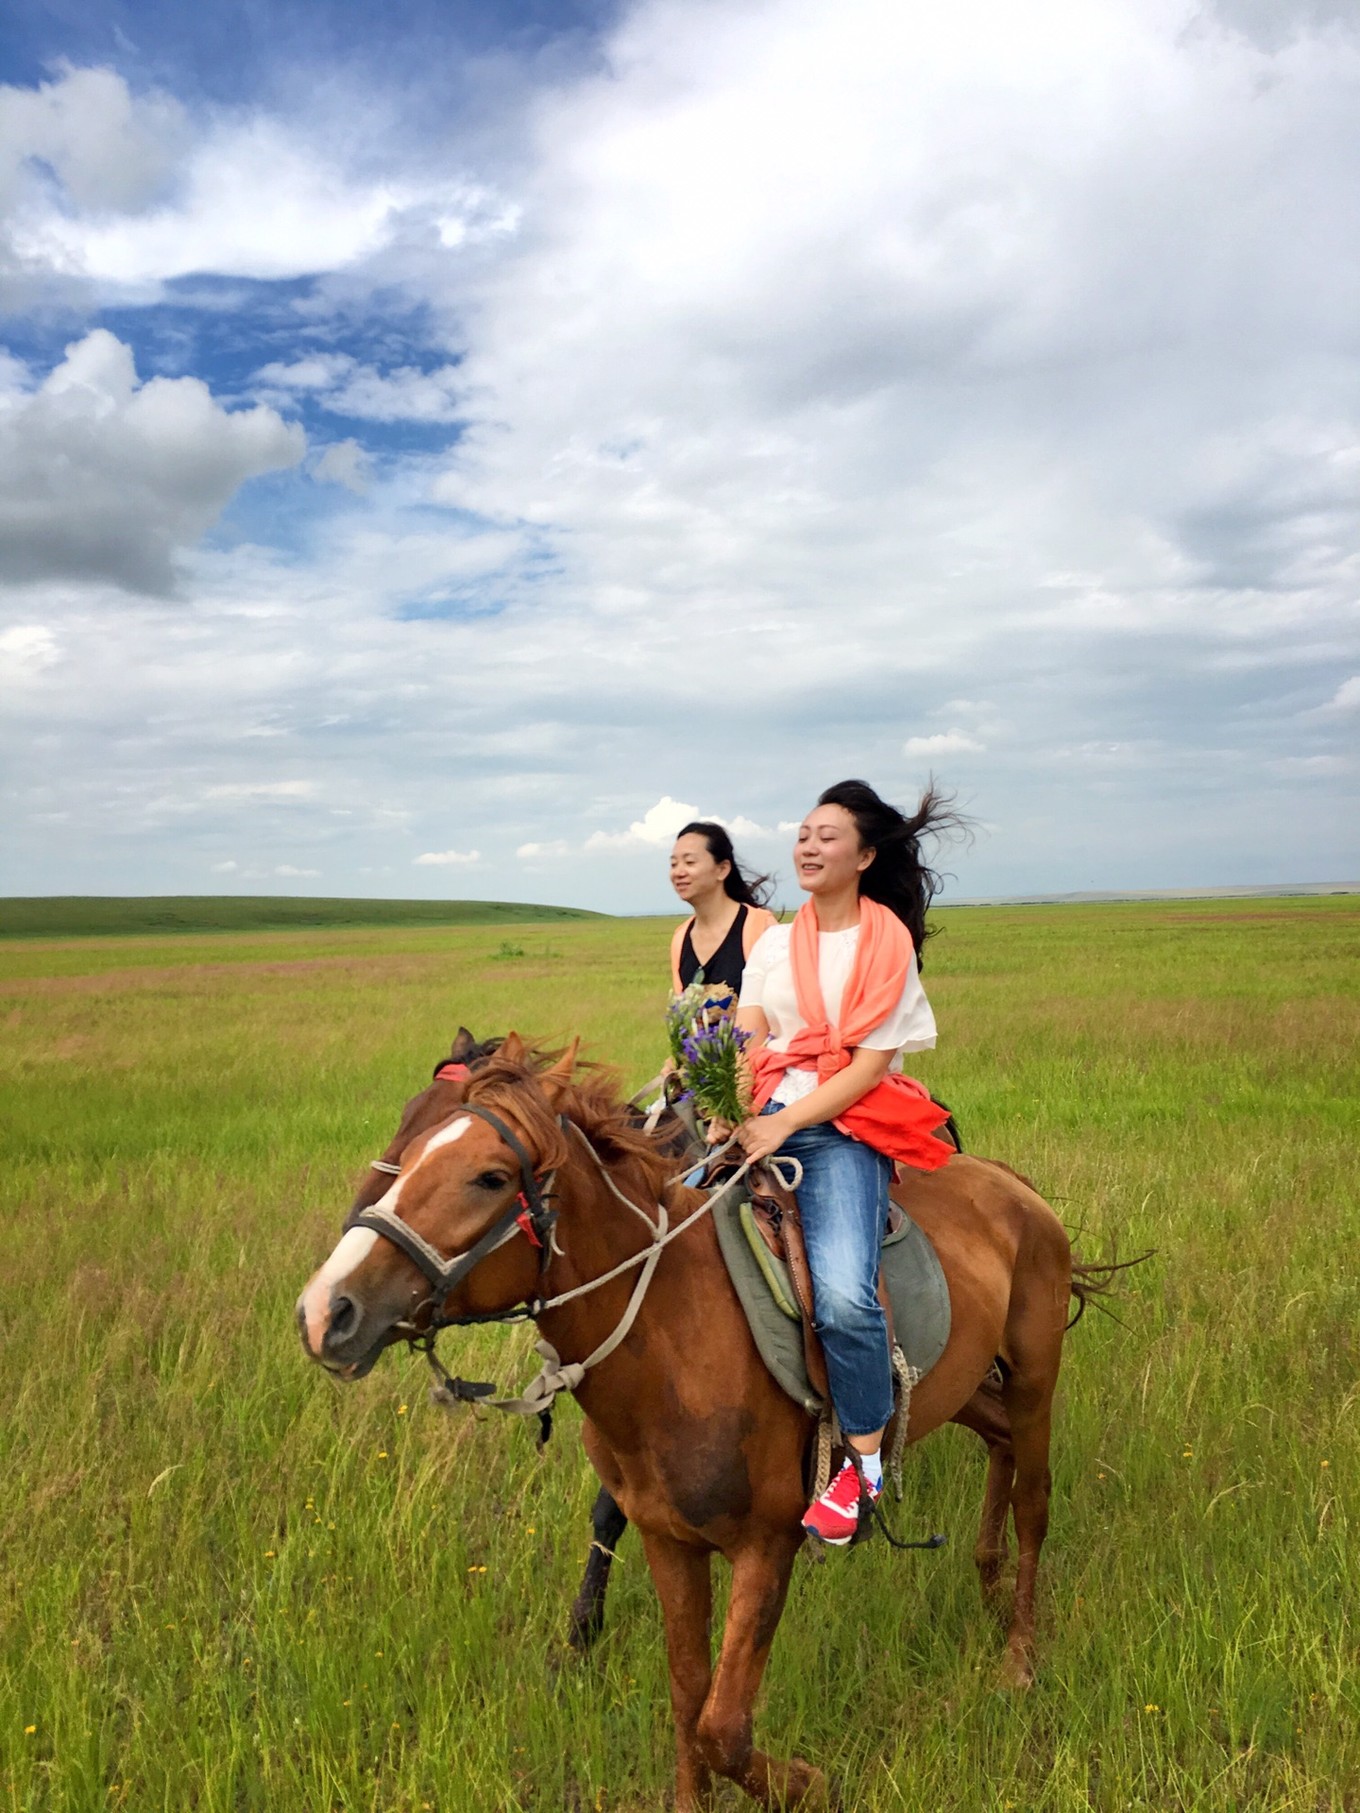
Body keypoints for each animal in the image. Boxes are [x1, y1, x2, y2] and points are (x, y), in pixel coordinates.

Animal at [301, 1044, 1088, 1805]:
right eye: (411, 1136)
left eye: (491, 1177)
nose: (324, 1310)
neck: (676, 1333)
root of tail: (1013, 1188)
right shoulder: (669, 1542)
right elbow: (688, 1696)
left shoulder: (767, 1548)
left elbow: (723, 1729)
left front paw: (808, 1783)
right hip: (959, 1386)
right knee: (999, 1442)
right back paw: (986, 1583)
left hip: (1033, 1379)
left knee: (1035, 1501)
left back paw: (1019, 1655)